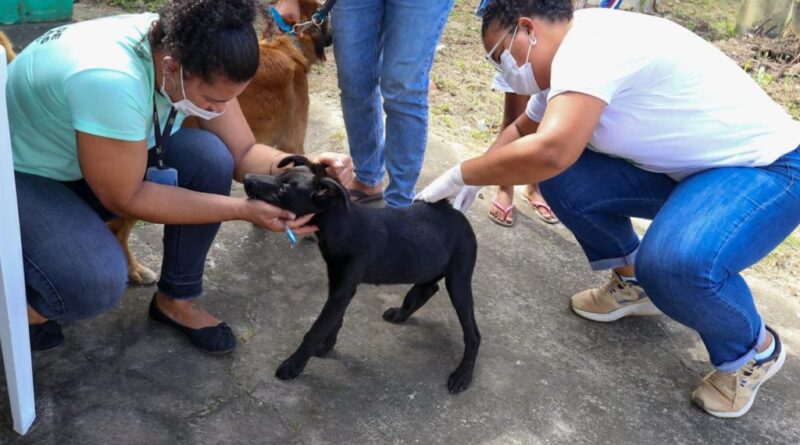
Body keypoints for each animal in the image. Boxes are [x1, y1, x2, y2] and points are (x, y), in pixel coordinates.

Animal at [244, 156, 482, 392]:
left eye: (283, 188)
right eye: (278, 176)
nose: (247, 178)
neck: (342, 225)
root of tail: (458, 215)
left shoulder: (343, 289)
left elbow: (316, 329)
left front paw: (293, 365)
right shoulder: (338, 286)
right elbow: (334, 321)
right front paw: (326, 347)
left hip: (459, 278)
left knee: (473, 335)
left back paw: (462, 375)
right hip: (427, 264)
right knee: (428, 288)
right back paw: (400, 314)